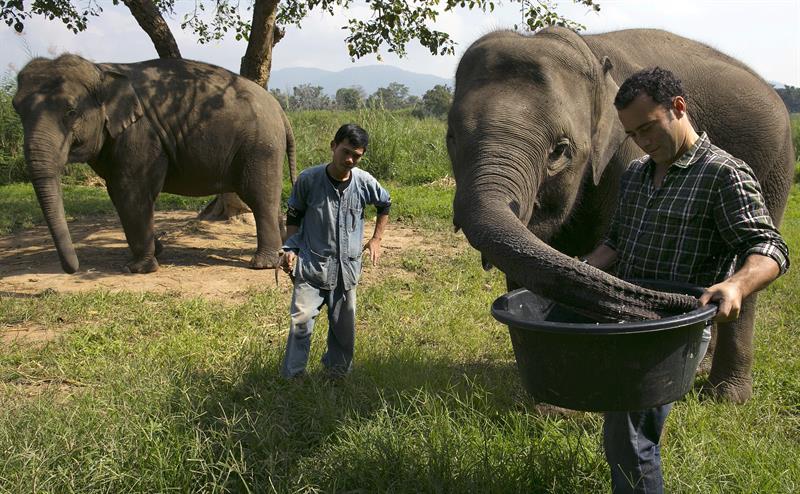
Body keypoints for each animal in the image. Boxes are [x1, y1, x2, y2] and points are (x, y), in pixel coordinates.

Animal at [12, 54, 297, 274]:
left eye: (71, 111)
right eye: (16, 109)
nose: (73, 269)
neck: (102, 70)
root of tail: (280, 111)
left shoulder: (139, 134)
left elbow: (131, 191)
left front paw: (137, 269)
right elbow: (118, 193)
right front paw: (156, 251)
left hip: (260, 147)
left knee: (260, 197)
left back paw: (262, 264)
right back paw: (282, 249)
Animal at [447, 28, 794, 403]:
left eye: (560, 151)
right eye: (451, 138)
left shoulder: (626, 155)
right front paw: (544, 403)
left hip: (774, 169)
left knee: (755, 255)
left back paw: (725, 395)